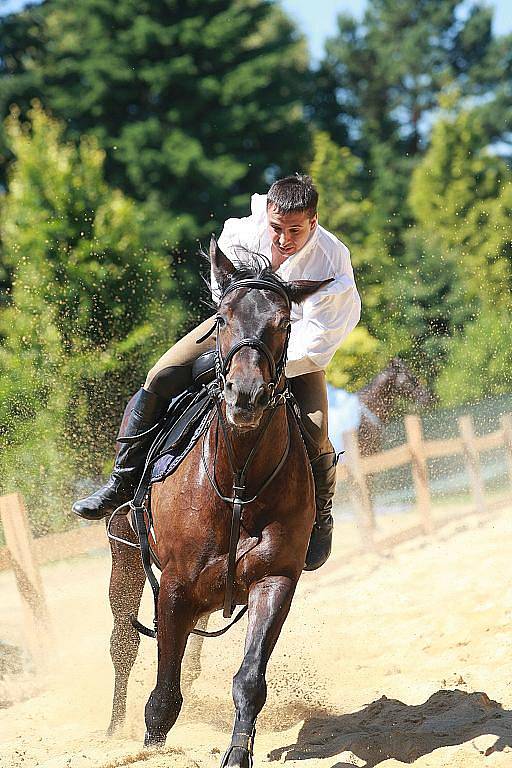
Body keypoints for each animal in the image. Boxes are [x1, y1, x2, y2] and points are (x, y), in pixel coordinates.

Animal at [105, 237, 328, 764]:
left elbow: (249, 680)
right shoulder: (174, 588)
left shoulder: (274, 580)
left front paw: (238, 750)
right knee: (123, 644)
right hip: (125, 557)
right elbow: (163, 697)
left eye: (284, 322)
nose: (245, 395)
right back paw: (113, 729)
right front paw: (152, 746)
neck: (237, 481)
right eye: (223, 317)